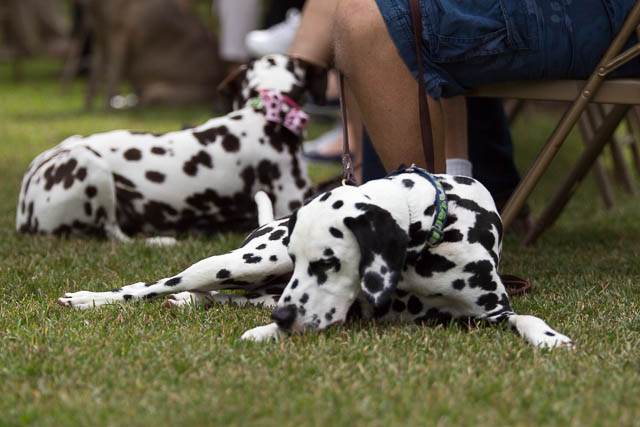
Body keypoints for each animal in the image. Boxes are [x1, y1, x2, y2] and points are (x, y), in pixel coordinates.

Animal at [57, 166, 572, 350]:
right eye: (303, 259)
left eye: (327, 263)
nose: (283, 318)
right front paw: (268, 333)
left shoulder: (495, 309)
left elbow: (525, 317)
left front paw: (548, 336)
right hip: (249, 262)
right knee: (152, 286)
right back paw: (90, 299)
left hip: (260, 283)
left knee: (224, 298)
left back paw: (193, 303)